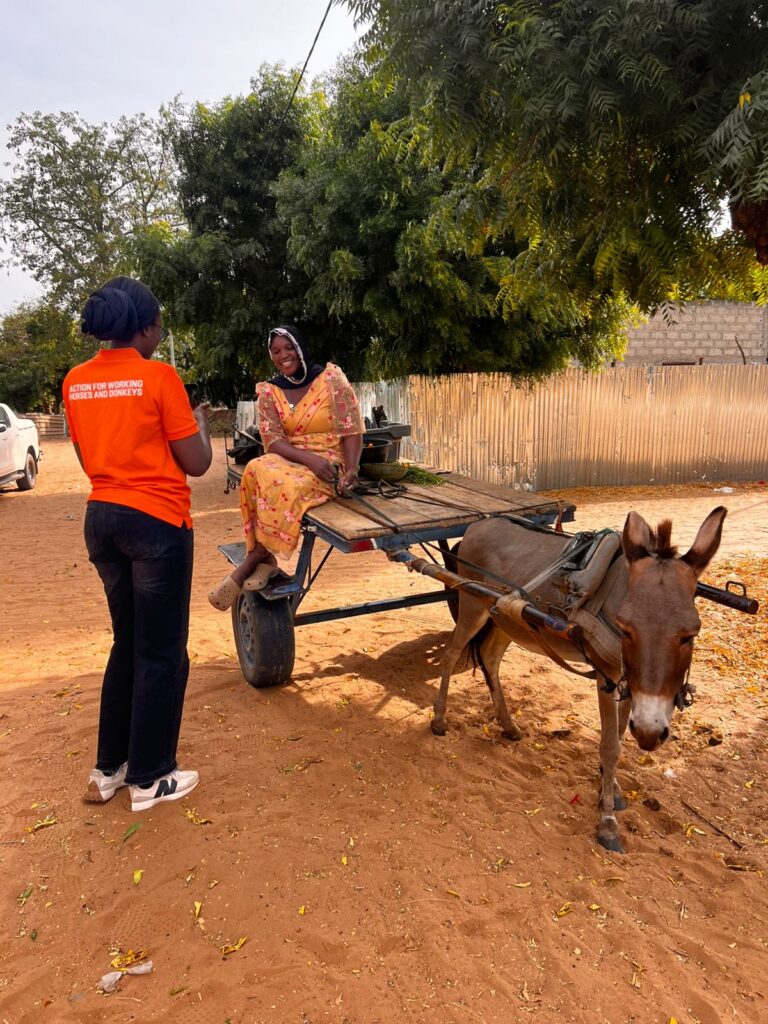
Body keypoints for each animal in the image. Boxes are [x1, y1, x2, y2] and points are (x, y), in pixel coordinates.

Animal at [433, 506, 727, 852]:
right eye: (626, 628)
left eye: (690, 634)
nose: (651, 734)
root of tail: (478, 523)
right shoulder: (607, 676)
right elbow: (610, 745)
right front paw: (608, 822)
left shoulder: (629, 683)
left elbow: (620, 735)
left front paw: (612, 790)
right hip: (471, 606)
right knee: (451, 654)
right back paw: (439, 720)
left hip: (506, 618)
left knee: (490, 658)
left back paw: (508, 726)